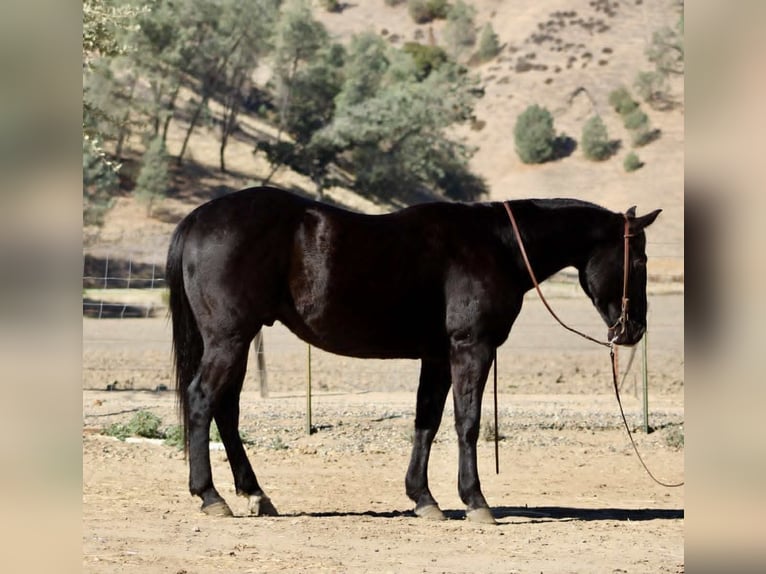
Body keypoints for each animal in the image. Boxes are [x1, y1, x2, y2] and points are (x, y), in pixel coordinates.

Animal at [166, 186, 661, 523]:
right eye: (639, 261)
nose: (634, 330)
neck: (497, 245)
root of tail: (199, 218)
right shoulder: (471, 349)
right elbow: (467, 423)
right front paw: (475, 501)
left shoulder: (437, 357)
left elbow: (427, 422)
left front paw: (424, 499)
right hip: (230, 339)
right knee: (202, 400)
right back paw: (210, 495)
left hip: (237, 340)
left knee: (226, 410)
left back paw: (254, 494)